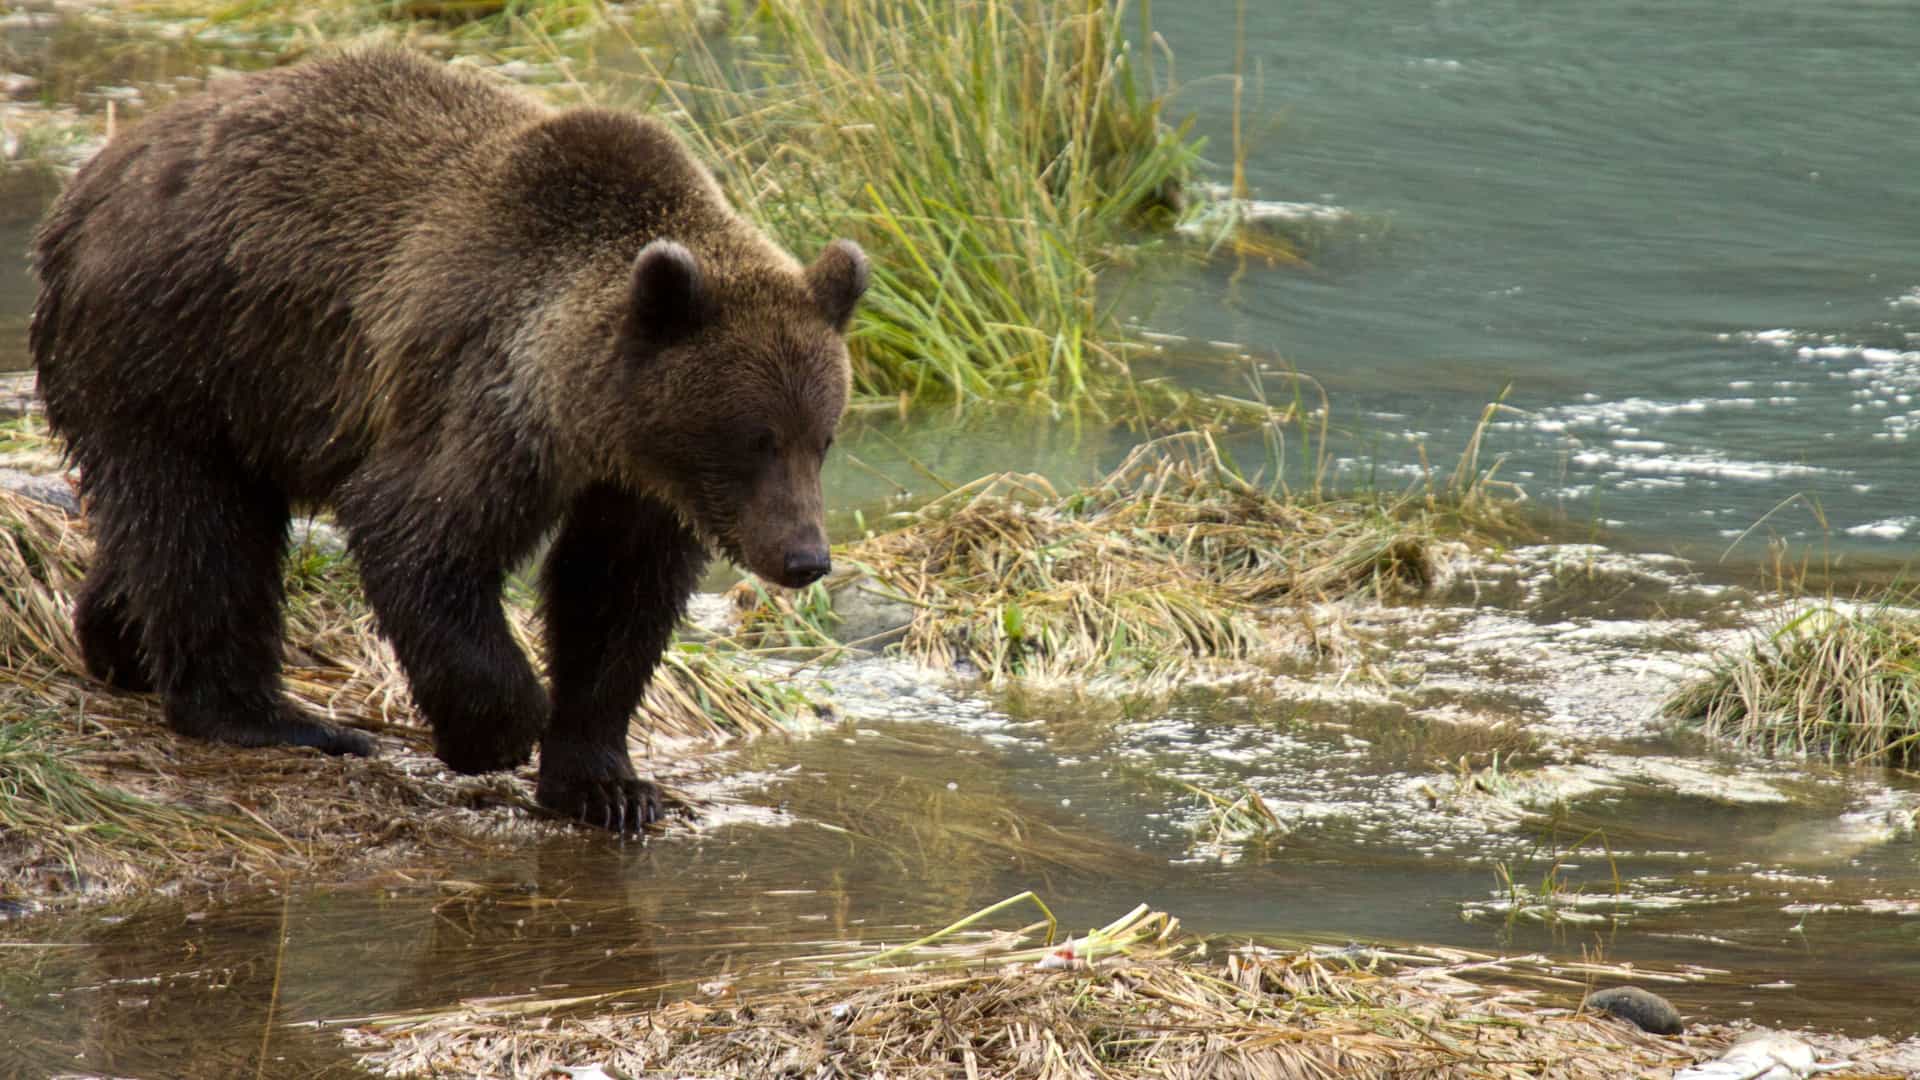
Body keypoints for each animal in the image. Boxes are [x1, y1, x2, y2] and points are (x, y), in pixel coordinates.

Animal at [28, 47, 867, 832]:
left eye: (822, 438)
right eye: (754, 438)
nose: (804, 557)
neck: (592, 418)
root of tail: (86, 185)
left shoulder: (636, 486)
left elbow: (614, 599)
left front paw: (609, 786)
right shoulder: (486, 398)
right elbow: (418, 532)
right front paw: (495, 731)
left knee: (169, 526)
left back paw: (118, 641)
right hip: (181, 346)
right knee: (201, 528)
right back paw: (272, 719)